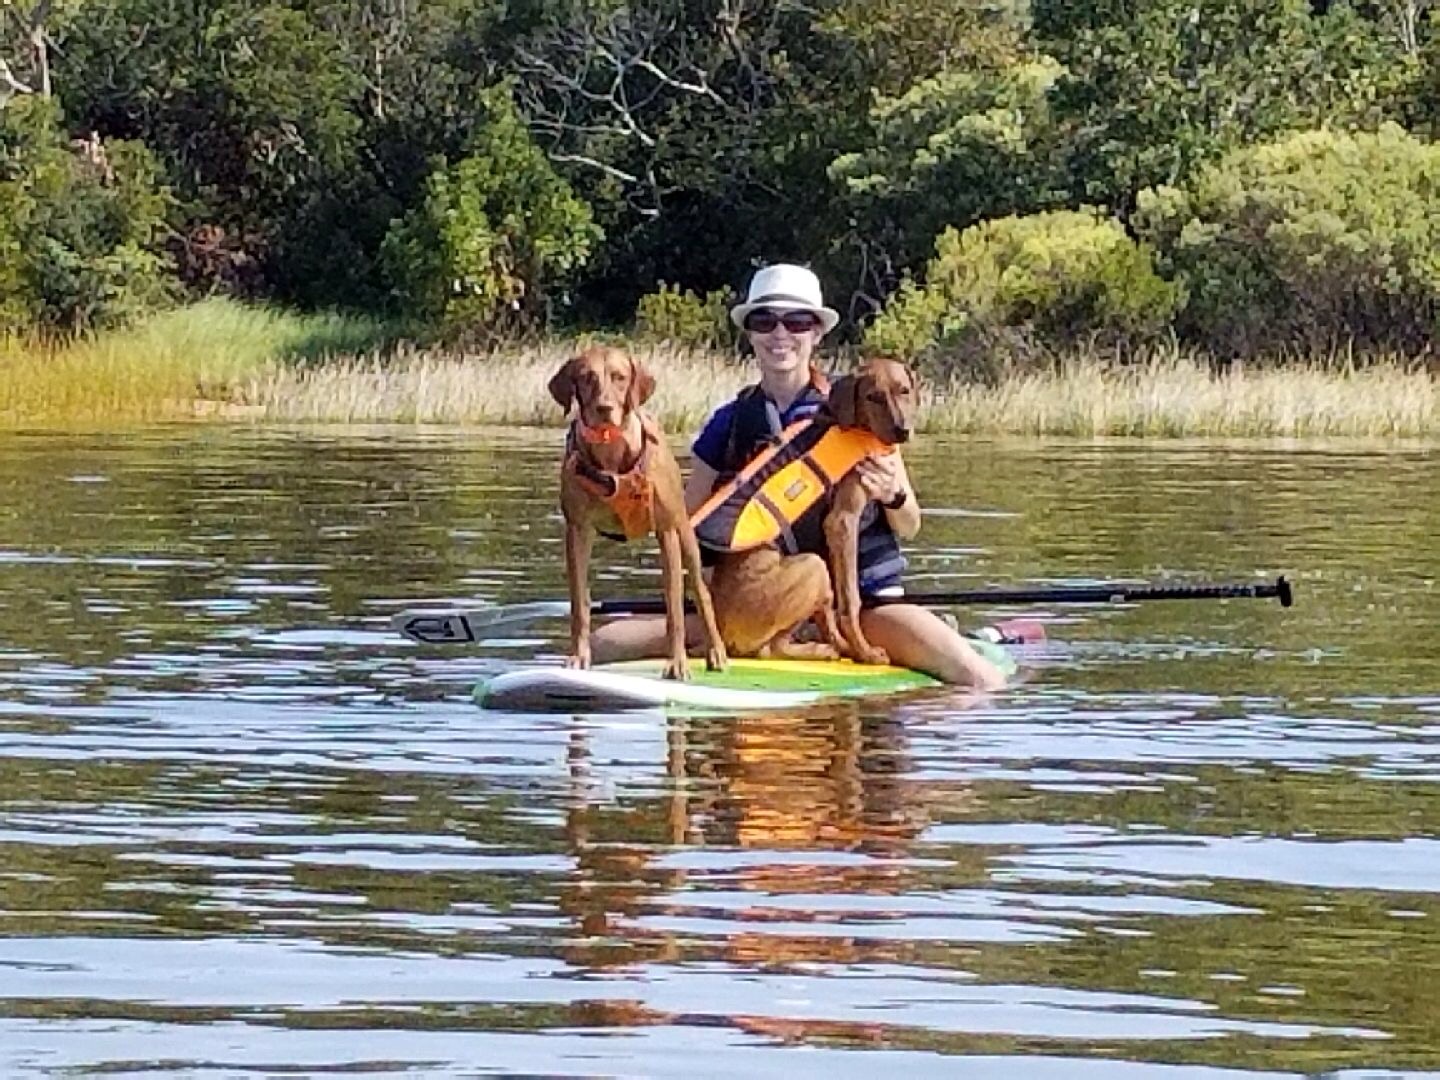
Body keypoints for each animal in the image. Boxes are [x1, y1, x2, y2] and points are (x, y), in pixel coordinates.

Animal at [550, 348, 731, 685]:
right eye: (586, 377)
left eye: (620, 377)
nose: (604, 408)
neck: (610, 452)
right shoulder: (577, 529)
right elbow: (580, 603)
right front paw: (579, 656)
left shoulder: (667, 532)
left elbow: (674, 607)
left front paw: (677, 662)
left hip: (686, 533)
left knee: (701, 593)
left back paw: (717, 652)